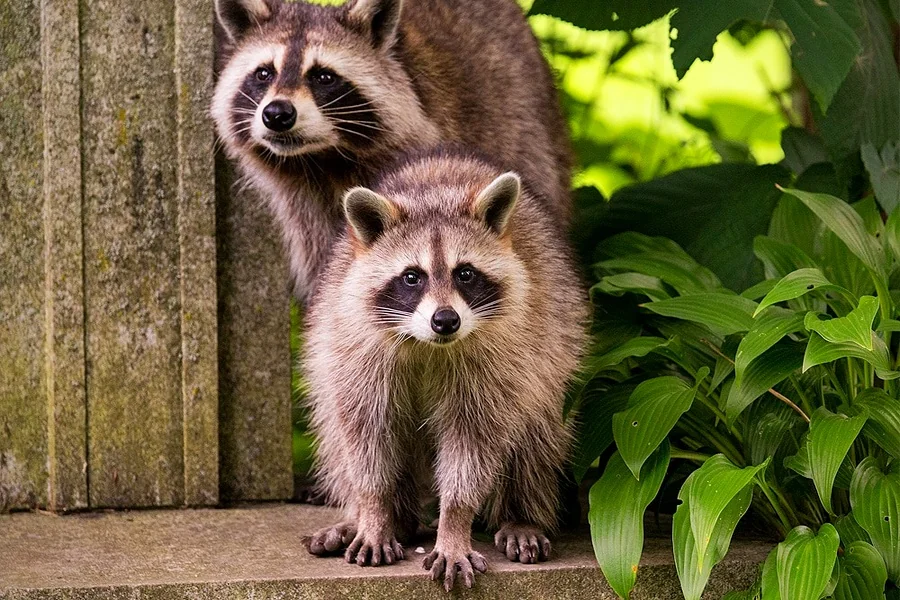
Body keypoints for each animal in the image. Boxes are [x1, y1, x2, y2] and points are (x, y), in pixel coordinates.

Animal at [302, 149, 587, 590]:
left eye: (464, 273)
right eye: (411, 277)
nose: (445, 320)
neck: (428, 345)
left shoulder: (499, 361)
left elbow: (473, 443)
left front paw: (454, 523)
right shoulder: (356, 349)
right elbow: (365, 435)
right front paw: (373, 511)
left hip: (553, 352)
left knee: (537, 434)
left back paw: (522, 513)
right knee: (335, 432)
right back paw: (377, 519)